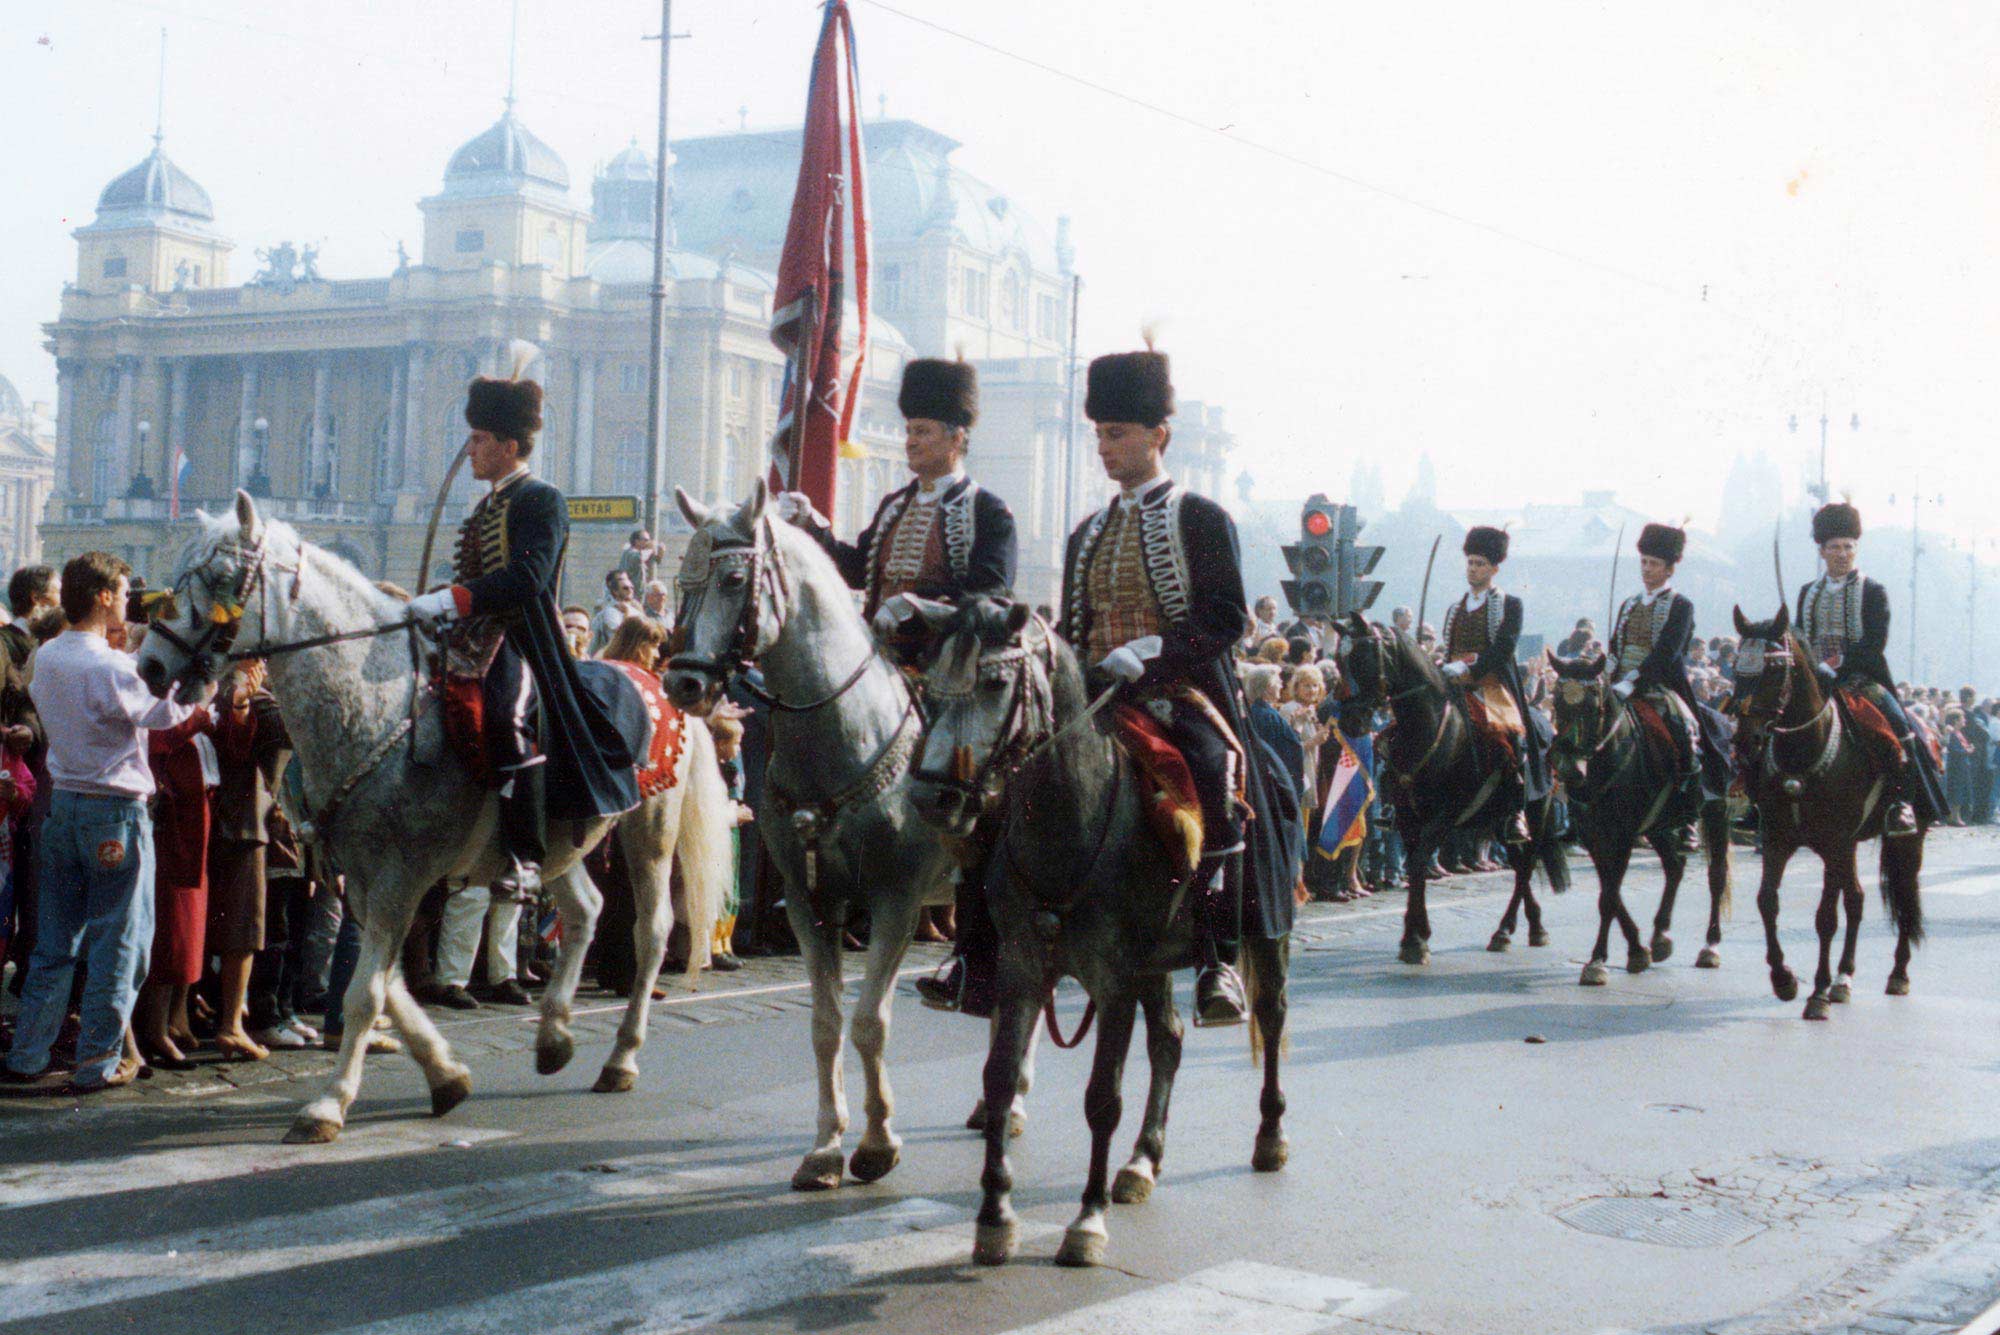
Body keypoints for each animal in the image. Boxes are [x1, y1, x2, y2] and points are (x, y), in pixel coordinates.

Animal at [137, 495, 740, 1143]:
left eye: (223, 577)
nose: (150, 666)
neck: (375, 707)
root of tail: (660, 679)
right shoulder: (361, 879)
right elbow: (384, 984)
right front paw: (446, 1075)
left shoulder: (399, 877)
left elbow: (367, 991)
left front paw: (329, 1104)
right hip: (562, 842)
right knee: (586, 911)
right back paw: (554, 1037)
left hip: (648, 830)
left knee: (651, 930)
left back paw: (621, 1057)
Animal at [912, 603, 1296, 1271]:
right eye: (930, 686)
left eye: (995, 682)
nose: (933, 796)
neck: (1073, 818)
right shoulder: (1022, 969)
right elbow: (999, 1076)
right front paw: (995, 1217)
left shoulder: (1113, 981)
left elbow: (1102, 1098)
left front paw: (1086, 1222)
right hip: (1156, 962)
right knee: (1168, 1040)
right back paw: (1142, 1162)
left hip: (1260, 934)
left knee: (1270, 1017)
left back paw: (1269, 1135)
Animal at [1544, 655, 1736, 979]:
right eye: (1557, 701)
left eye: (1593, 705)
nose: (1569, 769)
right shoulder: (1596, 837)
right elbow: (1610, 891)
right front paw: (1636, 950)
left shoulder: (1622, 836)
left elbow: (1609, 897)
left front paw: (1596, 961)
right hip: (1657, 825)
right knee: (1674, 866)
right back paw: (1660, 937)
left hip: (1715, 812)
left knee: (1716, 875)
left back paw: (1710, 946)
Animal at [1720, 611, 1920, 1015]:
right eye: (1738, 668)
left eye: (1774, 671)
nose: (1745, 740)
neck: (1803, 752)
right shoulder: (1779, 839)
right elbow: (1767, 902)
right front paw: (1784, 979)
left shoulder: (1834, 842)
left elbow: (1826, 917)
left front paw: (1817, 994)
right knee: (1856, 899)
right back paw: (1844, 979)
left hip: (1904, 839)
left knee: (1903, 894)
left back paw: (1896, 974)